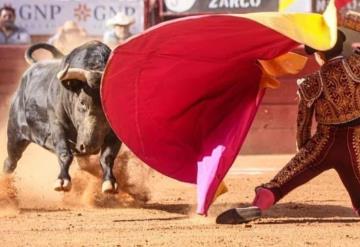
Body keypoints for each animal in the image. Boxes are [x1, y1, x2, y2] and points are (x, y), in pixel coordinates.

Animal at [2, 41, 122, 193]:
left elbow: (107, 157)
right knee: (10, 162)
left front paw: (109, 182)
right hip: (15, 136)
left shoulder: (115, 135)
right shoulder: (58, 125)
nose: (89, 146)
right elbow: (65, 154)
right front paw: (62, 181)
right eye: (82, 102)